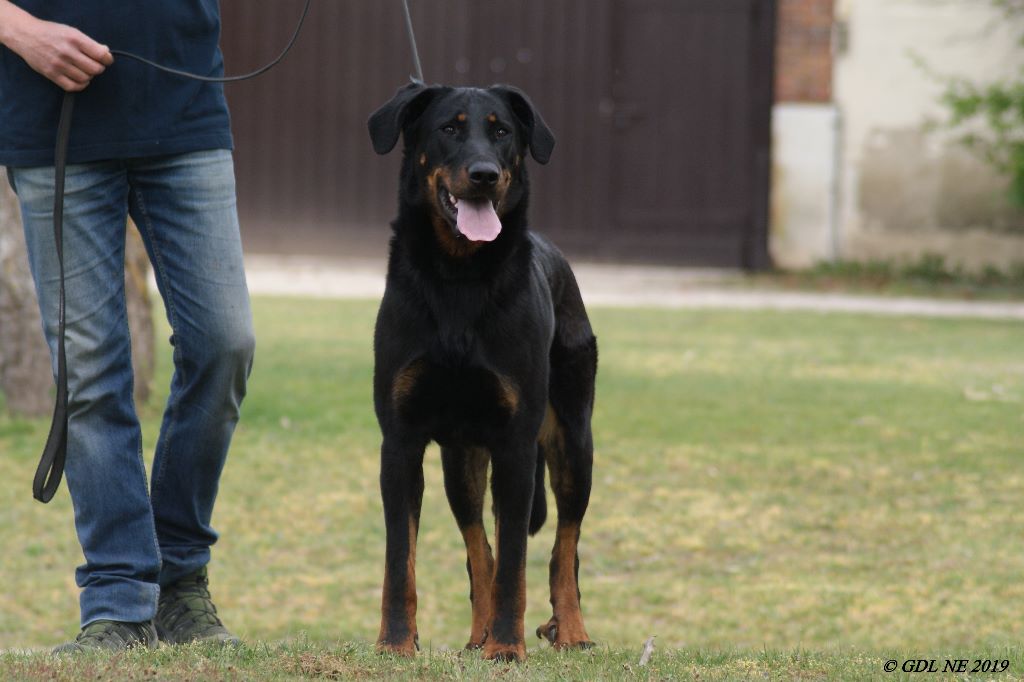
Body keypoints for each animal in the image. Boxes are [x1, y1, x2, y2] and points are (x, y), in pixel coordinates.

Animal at [368, 79, 598, 659]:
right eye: (449, 128)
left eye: (502, 132)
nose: (484, 174)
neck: (458, 279)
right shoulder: (400, 443)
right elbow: (401, 561)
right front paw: (397, 643)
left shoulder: (516, 443)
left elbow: (517, 563)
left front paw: (507, 648)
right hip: (462, 461)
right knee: (479, 548)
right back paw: (478, 636)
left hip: (572, 442)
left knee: (565, 545)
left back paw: (571, 631)